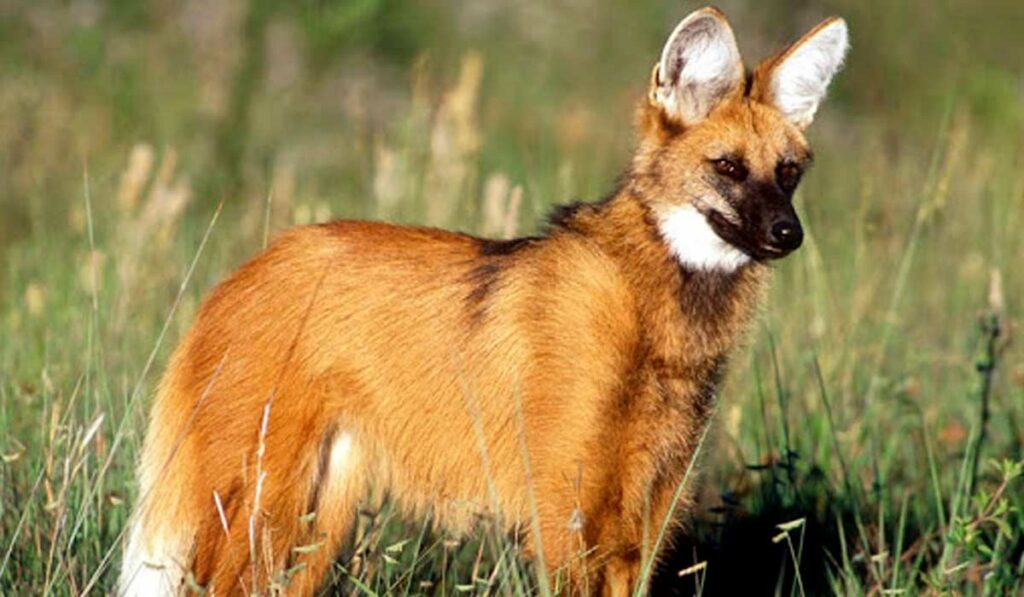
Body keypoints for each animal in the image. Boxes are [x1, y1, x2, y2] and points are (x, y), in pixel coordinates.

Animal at [119, 5, 847, 597]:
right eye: (728, 167)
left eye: (788, 173)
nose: (789, 233)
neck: (658, 320)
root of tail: (243, 270)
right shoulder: (567, 515)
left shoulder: (640, 524)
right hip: (260, 502)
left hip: (310, 524)